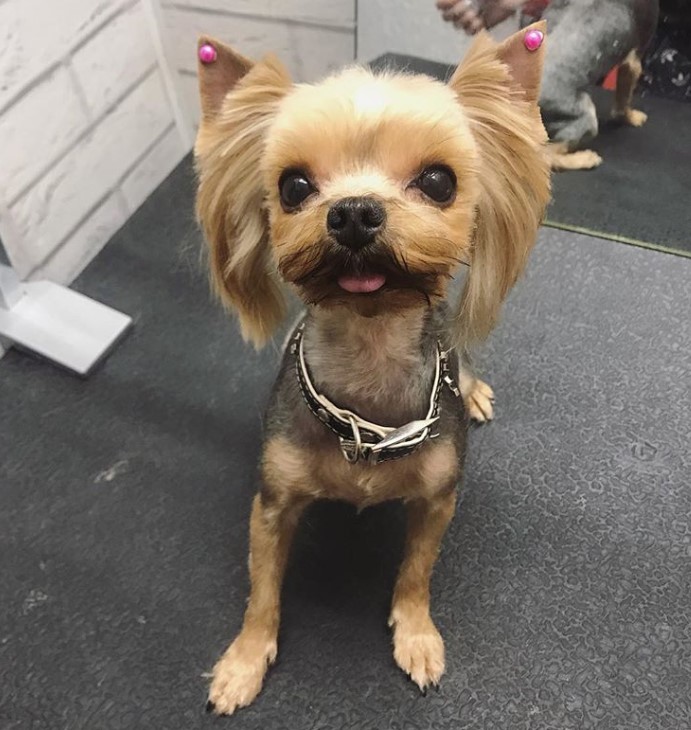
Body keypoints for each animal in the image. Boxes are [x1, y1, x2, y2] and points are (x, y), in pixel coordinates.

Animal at [193, 21, 552, 712]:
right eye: (294, 186)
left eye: (438, 181)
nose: (355, 210)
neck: (369, 364)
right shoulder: (271, 504)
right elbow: (262, 591)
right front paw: (245, 661)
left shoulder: (438, 500)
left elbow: (415, 574)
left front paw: (415, 634)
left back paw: (474, 391)